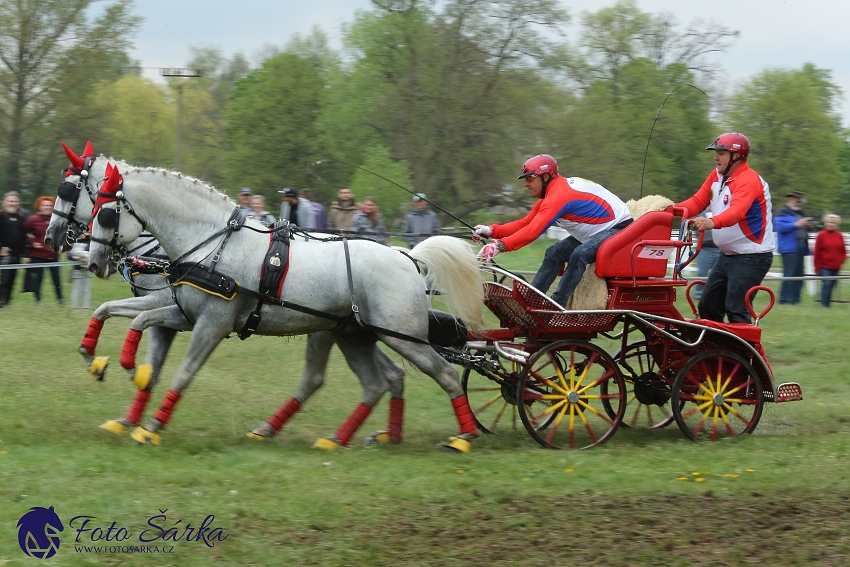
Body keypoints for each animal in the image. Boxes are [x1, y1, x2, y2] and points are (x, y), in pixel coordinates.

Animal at [85, 160, 484, 452]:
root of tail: (406, 255)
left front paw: (150, 425)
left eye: (105, 214)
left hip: (402, 335)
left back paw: (464, 437)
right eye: (91, 208)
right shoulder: (184, 315)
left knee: (445, 375)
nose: (94, 262)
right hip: (354, 335)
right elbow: (130, 317)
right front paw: (112, 364)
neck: (212, 243)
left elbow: (183, 372)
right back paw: (349, 437)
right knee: (373, 383)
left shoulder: (213, 323)